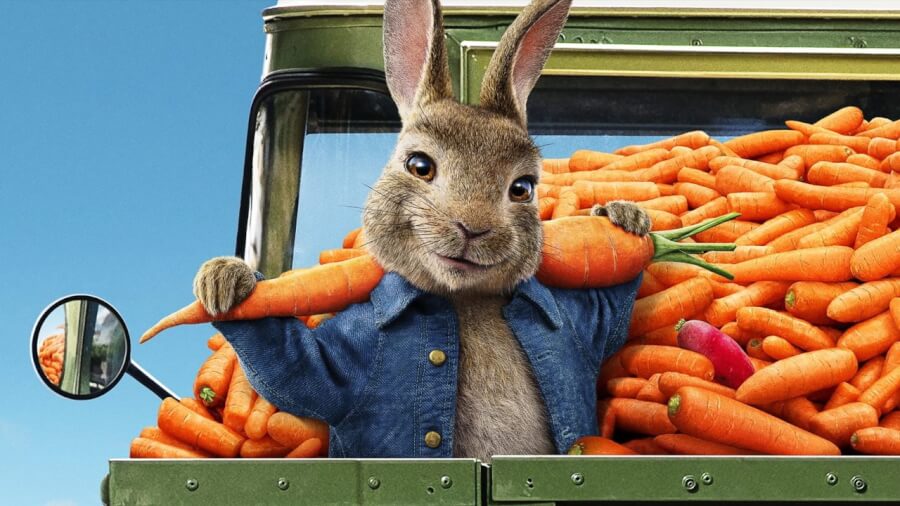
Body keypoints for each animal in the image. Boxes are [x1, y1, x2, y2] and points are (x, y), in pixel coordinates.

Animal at [195, 0, 650, 463]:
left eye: (522, 188)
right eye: (419, 165)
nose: (473, 227)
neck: (465, 300)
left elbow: (609, 313)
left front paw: (623, 216)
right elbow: (297, 370)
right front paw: (225, 280)